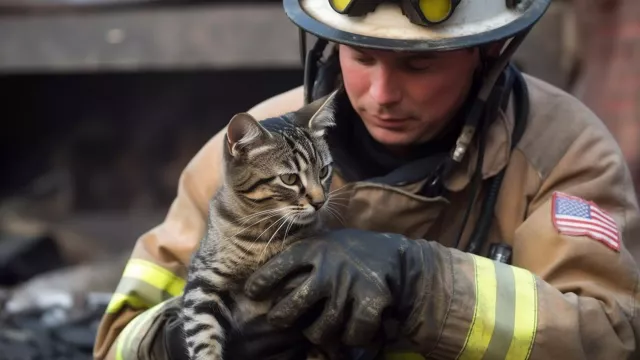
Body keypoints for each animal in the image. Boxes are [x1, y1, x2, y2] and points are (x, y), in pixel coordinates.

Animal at [180, 93, 340, 360]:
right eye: (289, 179)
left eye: (324, 171)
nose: (319, 202)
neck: (264, 233)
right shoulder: (204, 280)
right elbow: (203, 334)